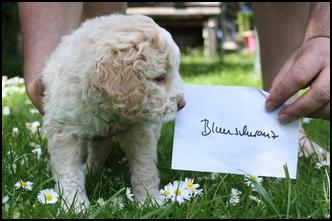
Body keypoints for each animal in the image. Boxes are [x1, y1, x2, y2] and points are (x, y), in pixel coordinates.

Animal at [41, 14, 185, 211]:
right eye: (160, 78)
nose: (182, 104)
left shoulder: (141, 130)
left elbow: (144, 166)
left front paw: (149, 202)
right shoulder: (63, 129)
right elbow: (68, 170)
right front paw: (75, 205)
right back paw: (90, 171)